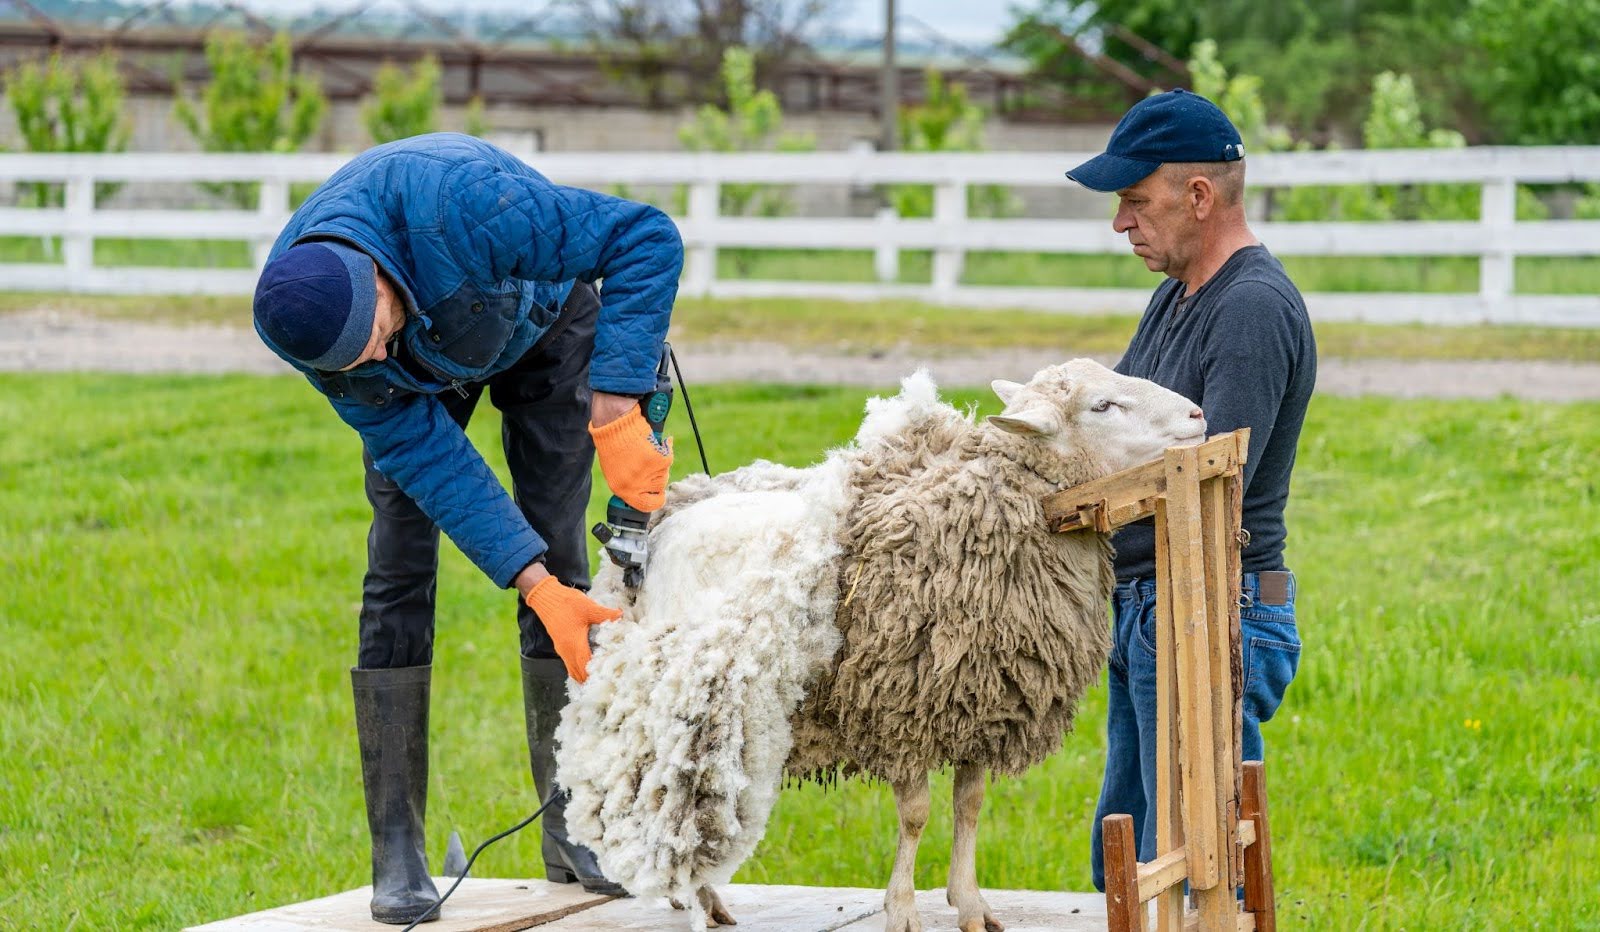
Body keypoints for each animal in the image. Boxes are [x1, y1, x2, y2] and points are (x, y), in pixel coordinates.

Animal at [556, 361, 1203, 928]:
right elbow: (915, 816)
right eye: (1103, 406)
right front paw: (904, 910)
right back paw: (701, 896)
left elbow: (969, 805)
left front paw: (970, 904)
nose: (1198, 415)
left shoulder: (983, 704)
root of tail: (667, 515)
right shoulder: (899, 711)